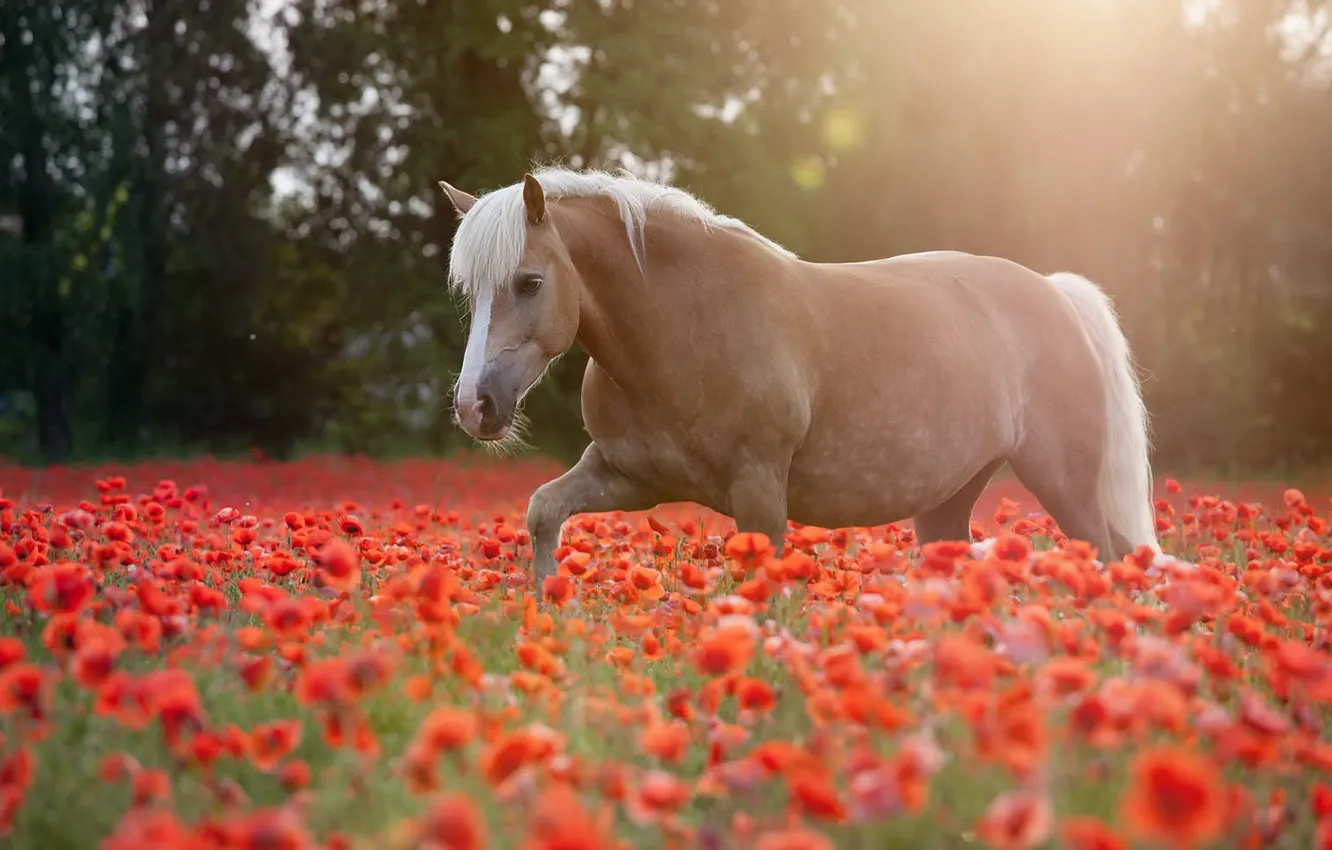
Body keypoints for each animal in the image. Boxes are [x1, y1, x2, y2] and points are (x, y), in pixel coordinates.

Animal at [439, 166, 1156, 591]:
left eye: (529, 282)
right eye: (470, 291)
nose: (475, 406)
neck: (687, 325)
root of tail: (1055, 294)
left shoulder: (758, 491)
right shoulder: (628, 478)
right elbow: (542, 511)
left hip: (1063, 483)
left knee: (1105, 557)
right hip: (948, 502)